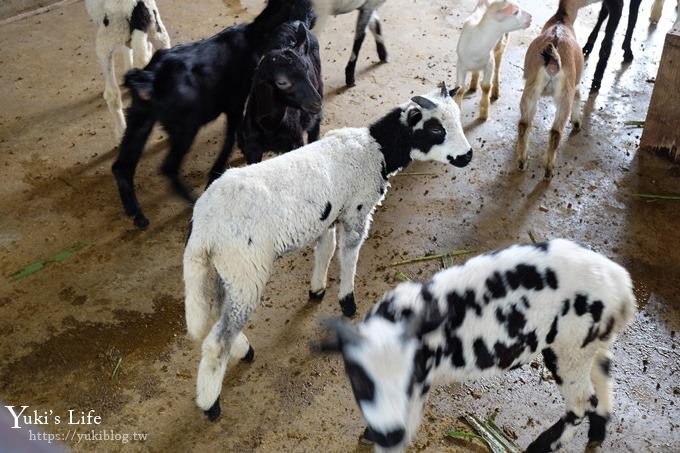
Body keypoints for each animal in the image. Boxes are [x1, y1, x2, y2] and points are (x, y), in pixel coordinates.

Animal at [85, 0, 170, 139]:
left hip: (105, 44)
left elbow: (127, 50)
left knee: (112, 94)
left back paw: (121, 132)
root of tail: (136, 7)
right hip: (159, 35)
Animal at [111, 0, 314, 226]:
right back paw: (191, 201)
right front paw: (216, 171)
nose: (310, 19)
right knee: (168, 167)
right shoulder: (236, 102)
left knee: (122, 167)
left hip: (139, 119)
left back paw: (137, 215)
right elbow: (230, 138)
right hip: (184, 127)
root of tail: (150, 77)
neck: (254, 36)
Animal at [185, 84, 472, 420]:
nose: (467, 155)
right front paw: (347, 302)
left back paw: (243, 350)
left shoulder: (329, 217)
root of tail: (203, 228)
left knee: (219, 315)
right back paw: (211, 404)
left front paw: (317, 289)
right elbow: (349, 255)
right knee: (217, 342)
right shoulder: (356, 212)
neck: (376, 149)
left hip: (224, 270)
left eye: (458, 119)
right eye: (436, 128)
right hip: (245, 270)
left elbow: (326, 250)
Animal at [236, 21, 324, 165]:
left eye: (306, 69)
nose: (317, 103)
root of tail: (295, 22)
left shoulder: (295, 142)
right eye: (282, 82)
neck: (270, 126)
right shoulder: (253, 148)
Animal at [324, 238, 636, 450]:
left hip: (569, 347)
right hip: (590, 342)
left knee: (583, 400)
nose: (388, 435)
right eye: (361, 383)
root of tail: (623, 288)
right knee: (603, 378)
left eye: (408, 382)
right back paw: (596, 435)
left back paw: (542, 445)